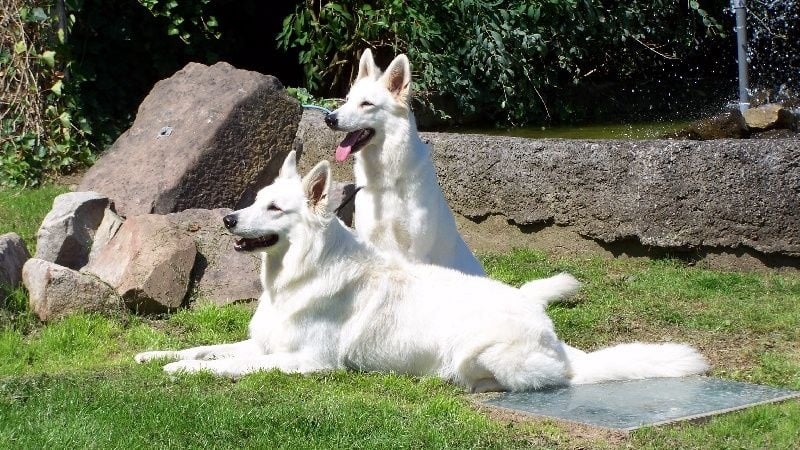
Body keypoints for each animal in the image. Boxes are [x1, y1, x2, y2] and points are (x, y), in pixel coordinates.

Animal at [134, 153, 708, 392]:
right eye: (255, 201)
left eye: (275, 209)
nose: (229, 219)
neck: (296, 278)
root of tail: (562, 347)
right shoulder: (264, 343)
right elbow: (205, 348)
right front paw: (156, 355)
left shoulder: (306, 362)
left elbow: (232, 365)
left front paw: (186, 373)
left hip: (481, 352)